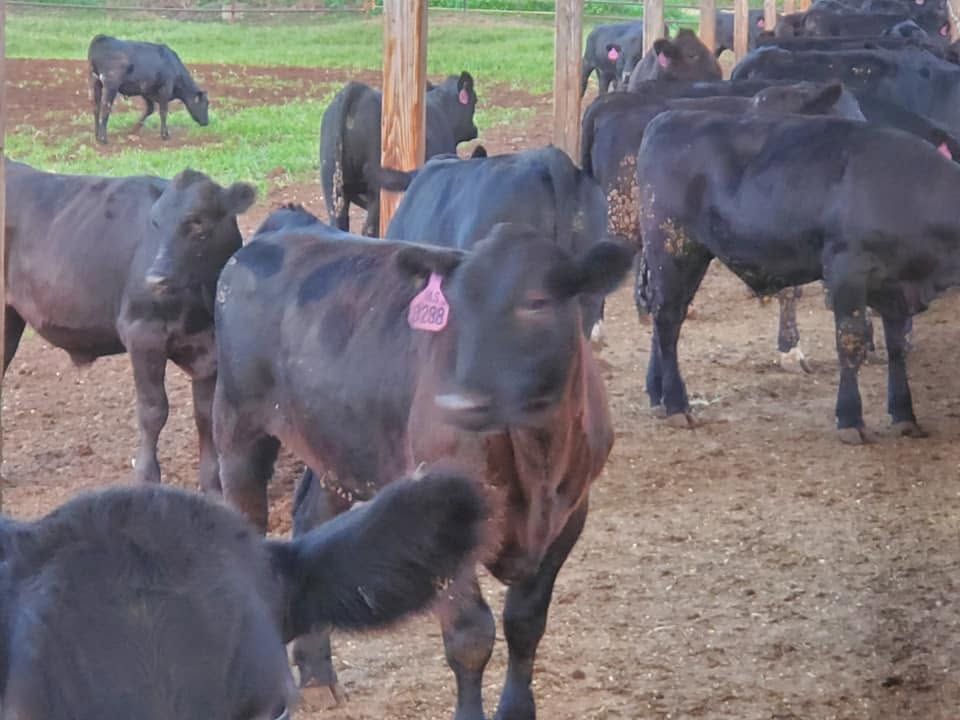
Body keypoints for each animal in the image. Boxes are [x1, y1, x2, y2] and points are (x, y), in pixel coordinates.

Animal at [3, 160, 254, 489]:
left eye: (197, 222)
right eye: (155, 223)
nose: (155, 278)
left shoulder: (209, 350)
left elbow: (205, 415)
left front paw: (212, 485)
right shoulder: (141, 332)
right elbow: (153, 410)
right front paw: (147, 477)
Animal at [201, 220, 633, 719]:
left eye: (537, 302)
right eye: (457, 308)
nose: (459, 403)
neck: (538, 457)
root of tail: (283, 227)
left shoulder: (572, 513)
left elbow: (525, 623)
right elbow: (470, 637)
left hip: (338, 445)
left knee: (310, 520)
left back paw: (317, 675)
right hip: (238, 426)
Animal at [319, 73, 479, 236]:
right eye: (475, 101)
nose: (474, 129)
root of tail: (358, 91)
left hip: (332, 184)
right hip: (377, 192)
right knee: (370, 229)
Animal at [636, 109, 960, 443]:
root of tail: (670, 117)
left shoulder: (896, 286)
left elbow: (897, 348)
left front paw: (904, 415)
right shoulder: (846, 270)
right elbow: (850, 342)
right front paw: (850, 420)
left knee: (665, 314)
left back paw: (658, 396)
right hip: (674, 247)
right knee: (668, 319)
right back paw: (676, 405)